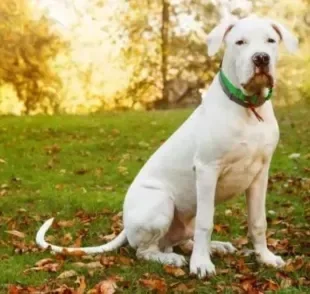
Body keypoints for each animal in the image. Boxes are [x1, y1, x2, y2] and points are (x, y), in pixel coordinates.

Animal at [35, 16, 298, 278]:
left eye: (270, 41)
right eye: (240, 42)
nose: (261, 58)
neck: (248, 108)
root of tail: (126, 225)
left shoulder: (260, 173)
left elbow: (258, 221)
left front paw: (265, 257)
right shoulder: (207, 169)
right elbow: (206, 223)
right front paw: (201, 264)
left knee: (183, 240)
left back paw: (216, 247)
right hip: (160, 202)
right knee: (146, 251)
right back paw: (173, 258)